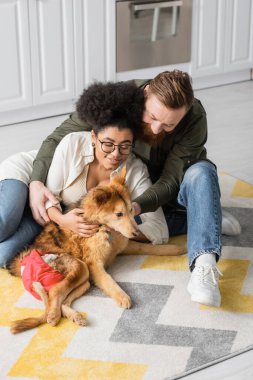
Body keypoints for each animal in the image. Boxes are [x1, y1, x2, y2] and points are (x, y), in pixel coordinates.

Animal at [8, 166, 186, 332]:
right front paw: (122, 296)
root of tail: (21, 267)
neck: (103, 228)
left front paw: (175, 249)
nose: (136, 232)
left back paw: (75, 316)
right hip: (80, 267)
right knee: (55, 293)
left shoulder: (125, 245)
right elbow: (109, 281)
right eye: (118, 214)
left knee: (63, 302)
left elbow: (147, 247)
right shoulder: (94, 265)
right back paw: (53, 316)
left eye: (131, 210)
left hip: (85, 281)